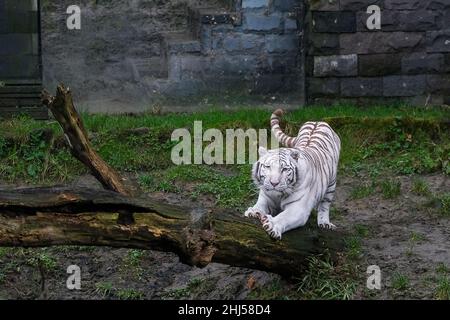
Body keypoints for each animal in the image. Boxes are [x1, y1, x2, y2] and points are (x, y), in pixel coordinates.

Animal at [246, 109, 342, 239]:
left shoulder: (298, 208)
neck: (278, 196)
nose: (274, 183)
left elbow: (284, 217)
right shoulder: (266, 197)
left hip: (331, 184)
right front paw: (253, 211)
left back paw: (324, 223)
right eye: (268, 167)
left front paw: (272, 224)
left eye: (285, 169)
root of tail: (318, 121)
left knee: (325, 205)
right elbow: (260, 205)